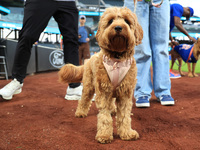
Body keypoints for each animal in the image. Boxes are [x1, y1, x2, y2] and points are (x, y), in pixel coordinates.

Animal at [58, 6, 143, 143]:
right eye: (110, 21)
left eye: (126, 21)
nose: (118, 27)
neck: (117, 58)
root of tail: (91, 57)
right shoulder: (103, 91)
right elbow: (104, 116)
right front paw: (104, 135)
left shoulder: (125, 92)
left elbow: (124, 115)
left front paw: (126, 133)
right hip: (89, 86)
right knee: (84, 100)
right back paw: (80, 112)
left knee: (111, 102)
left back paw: (113, 109)